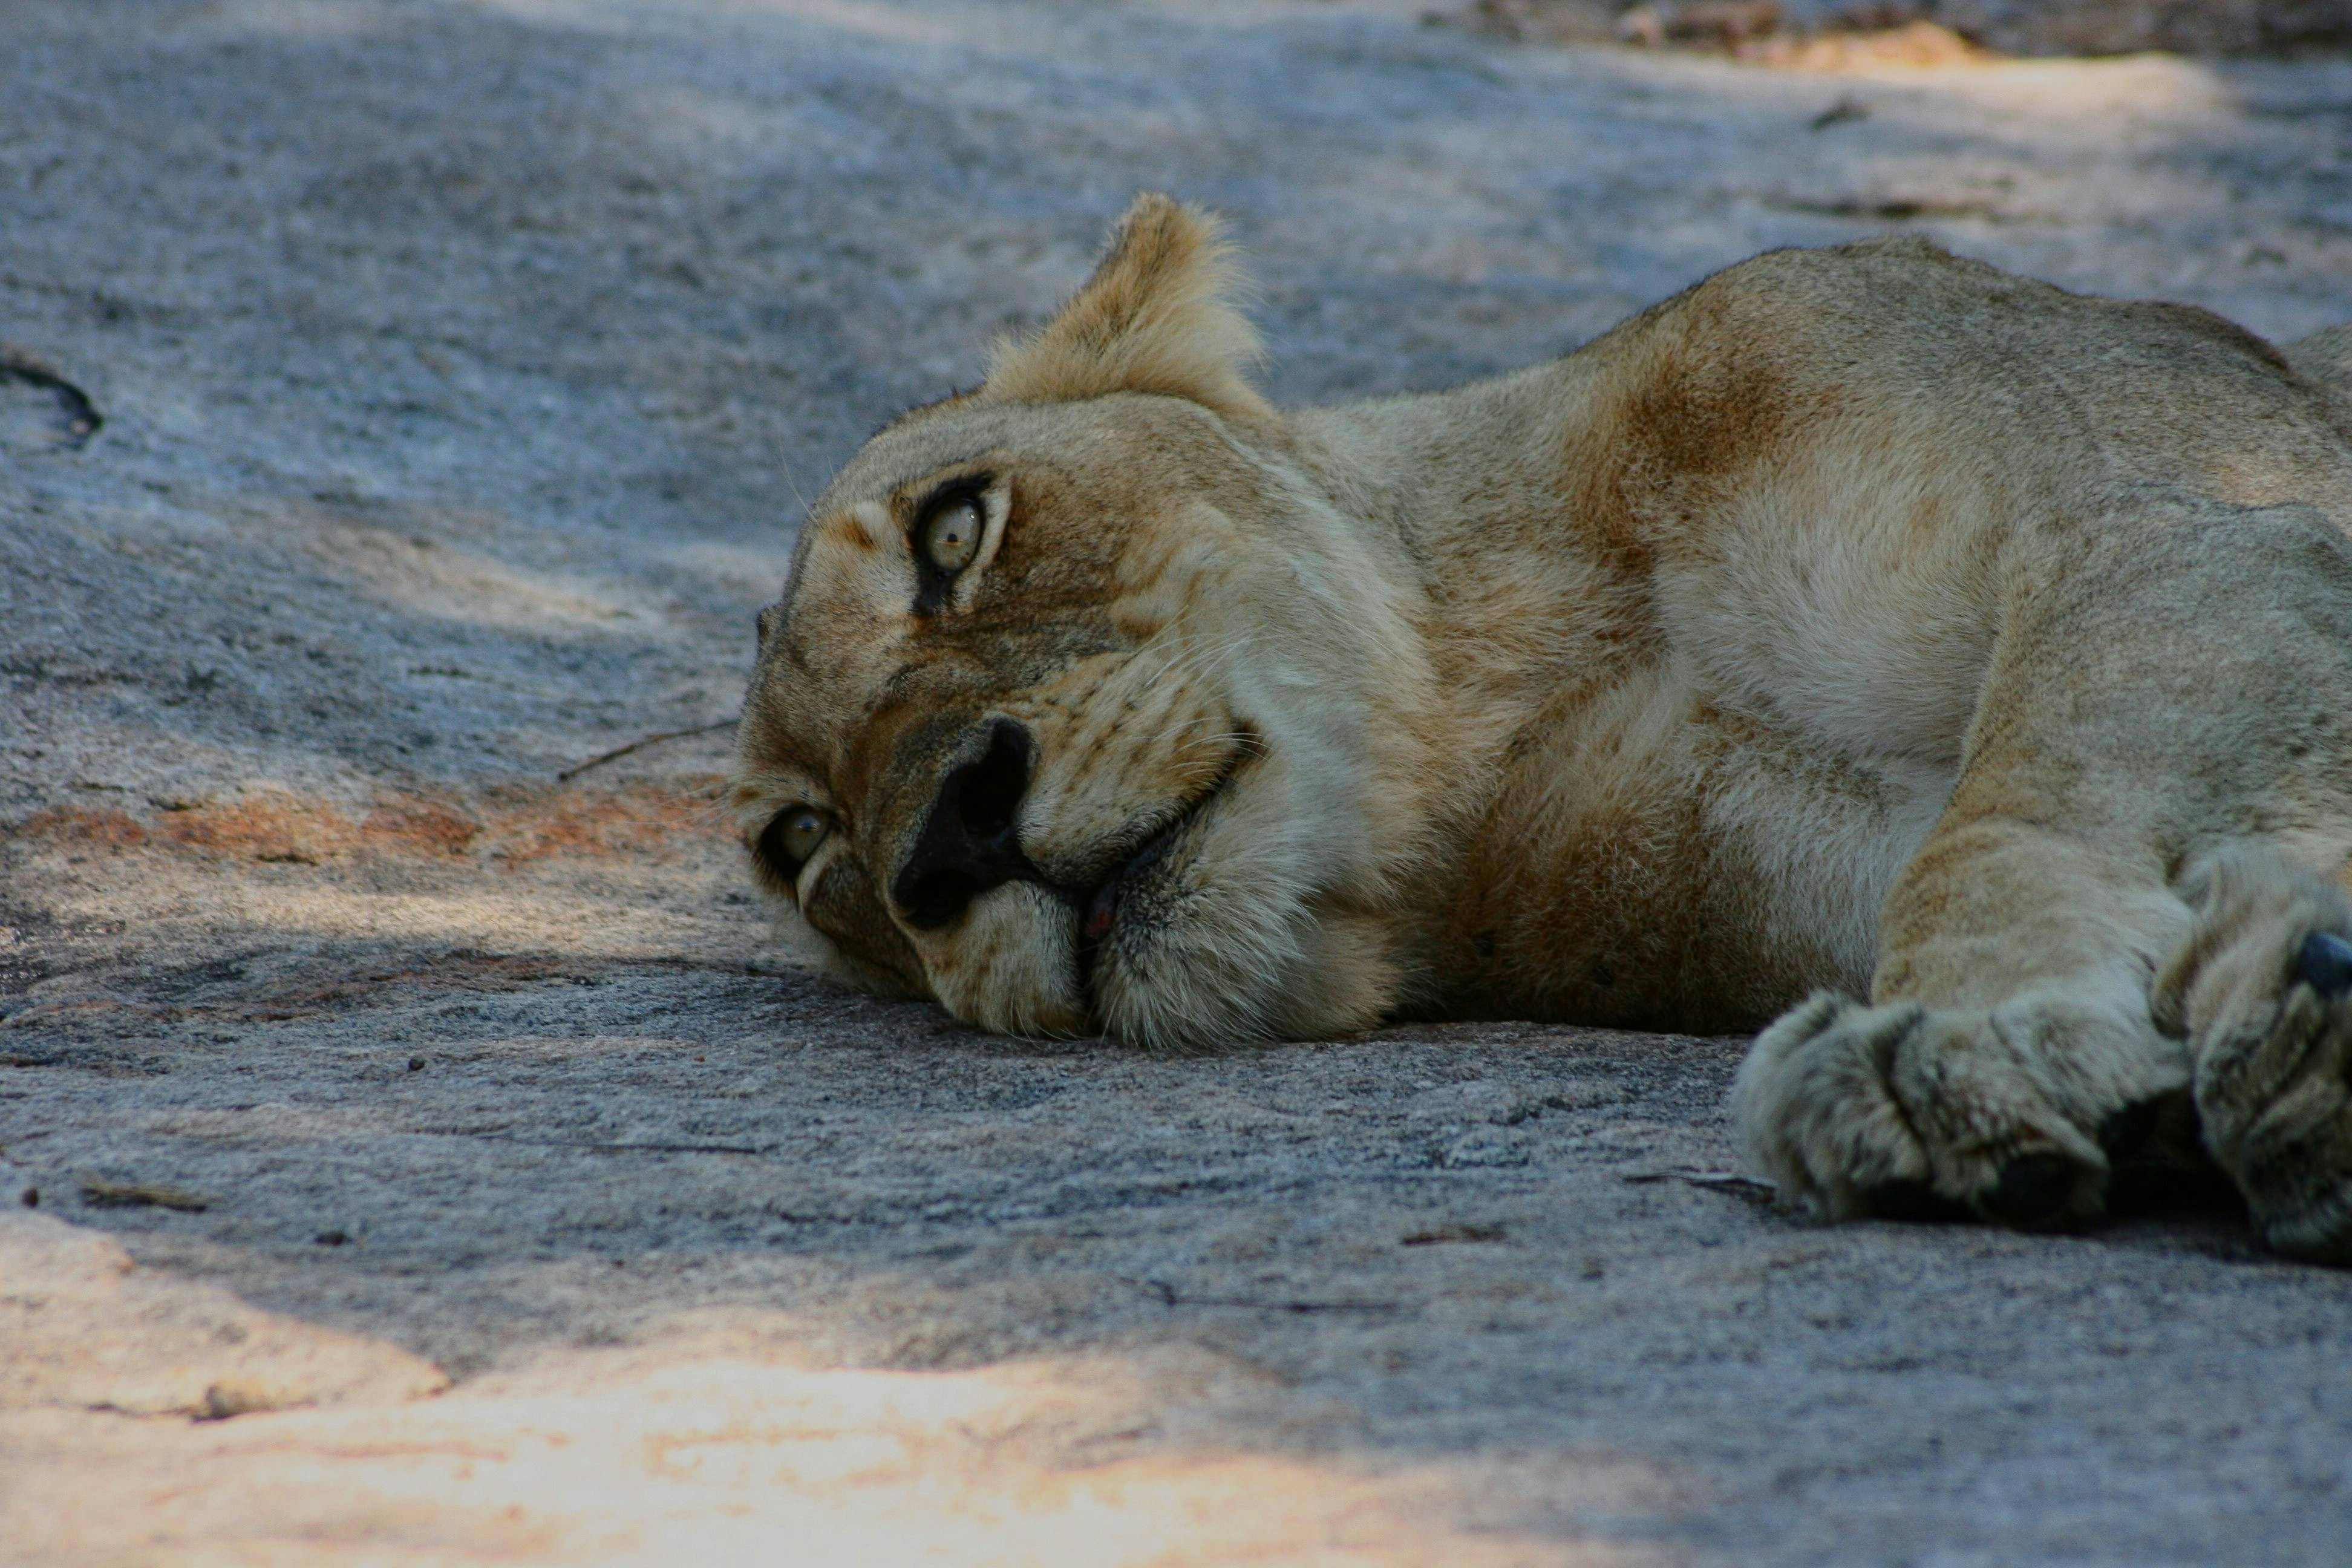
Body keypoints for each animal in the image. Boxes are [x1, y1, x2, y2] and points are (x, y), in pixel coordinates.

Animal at [731, 193, 2352, 1262]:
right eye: (804, 846)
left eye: (956, 533)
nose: (950, 835)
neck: (1530, 672)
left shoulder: (2187, 513)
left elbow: (2021, 808)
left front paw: (1977, 1042)